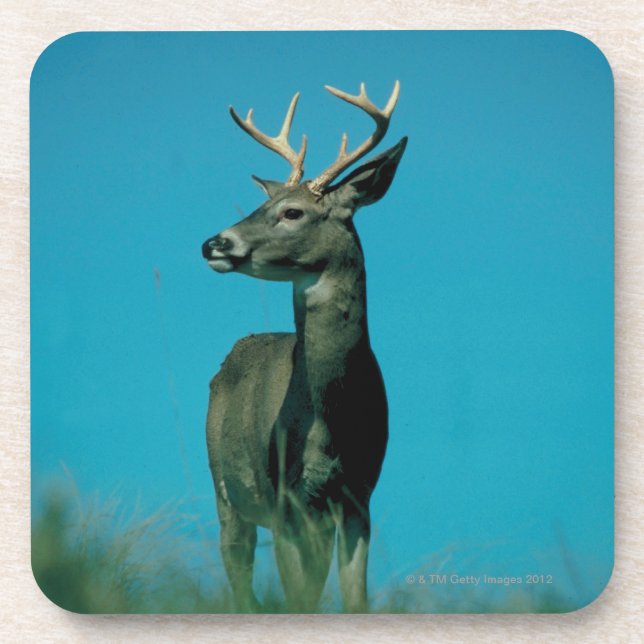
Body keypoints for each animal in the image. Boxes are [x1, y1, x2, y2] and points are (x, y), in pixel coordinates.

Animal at [201, 81, 407, 613]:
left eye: (292, 212)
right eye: (262, 206)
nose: (212, 243)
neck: (333, 422)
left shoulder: (358, 496)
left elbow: (354, 600)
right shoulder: (286, 499)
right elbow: (298, 597)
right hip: (227, 491)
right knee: (239, 577)